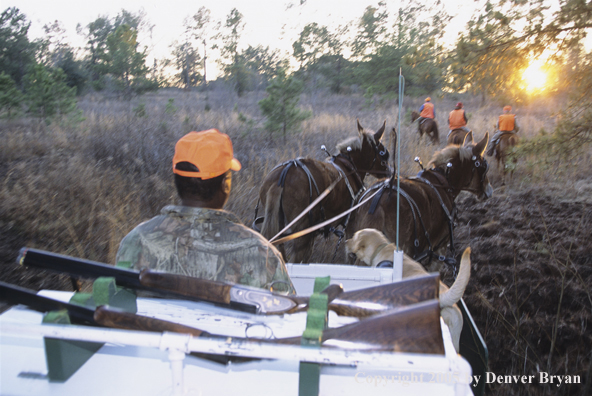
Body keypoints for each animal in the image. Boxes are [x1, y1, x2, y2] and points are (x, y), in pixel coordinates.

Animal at [256, 120, 390, 262]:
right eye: (382, 152)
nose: (389, 171)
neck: (349, 166)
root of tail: (282, 176)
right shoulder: (351, 220)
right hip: (302, 230)